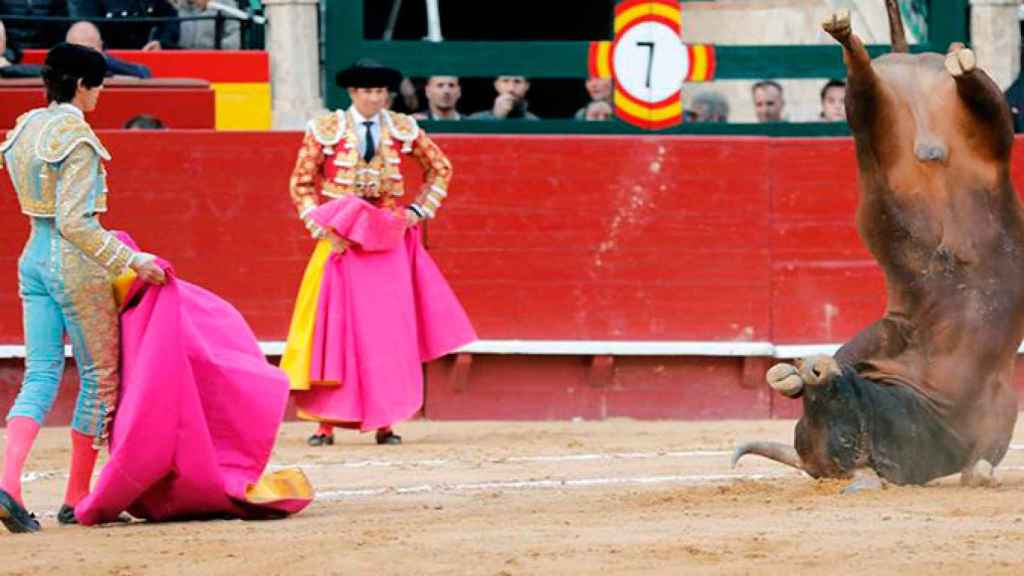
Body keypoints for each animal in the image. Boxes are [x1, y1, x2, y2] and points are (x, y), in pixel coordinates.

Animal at [733, 0, 1024, 491]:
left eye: (828, 403)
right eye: (827, 418)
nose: (815, 370)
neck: (923, 396)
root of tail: (911, 62)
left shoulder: (881, 340)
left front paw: (787, 377)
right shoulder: (988, 407)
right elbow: (981, 465)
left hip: (971, 135)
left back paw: (945, 54)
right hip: (888, 125)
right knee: (869, 88)